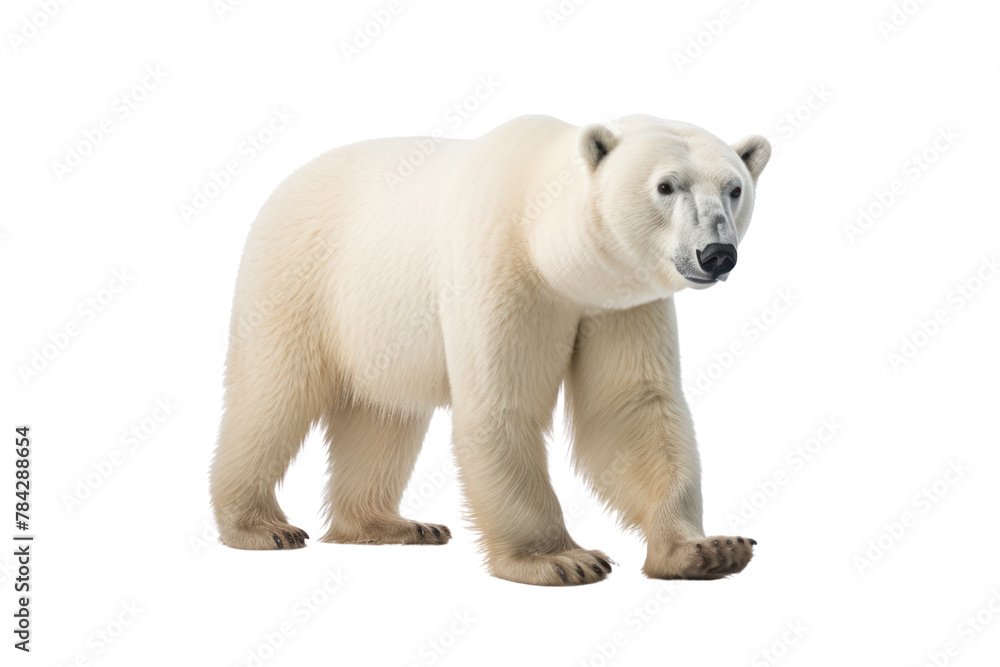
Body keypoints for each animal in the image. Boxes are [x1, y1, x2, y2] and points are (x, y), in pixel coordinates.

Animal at [211, 115, 772, 584]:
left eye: (734, 188)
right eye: (665, 185)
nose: (717, 254)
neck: (546, 239)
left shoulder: (617, 302)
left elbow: (631, 407)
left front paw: (710, 549)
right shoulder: (498, 267)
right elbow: (502, 404)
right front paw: (563, 559)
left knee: (385, 413)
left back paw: (394, 525)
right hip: (301, 277)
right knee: (273, 397)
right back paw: (261, 528)